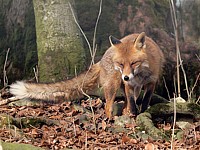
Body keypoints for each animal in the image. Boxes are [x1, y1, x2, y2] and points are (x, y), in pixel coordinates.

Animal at [9, 32, 164, 118]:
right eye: (120, 64)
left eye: (133, 63)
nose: (125, 77)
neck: (140, 75)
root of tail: (101, 59)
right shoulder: (129, 85)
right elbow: (132, 102)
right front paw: (134, 114)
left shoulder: (151, 82)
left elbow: (145, 100)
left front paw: (141, 111)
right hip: (113, 85)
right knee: (108, 107)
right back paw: (111, 120)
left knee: (123, 103)